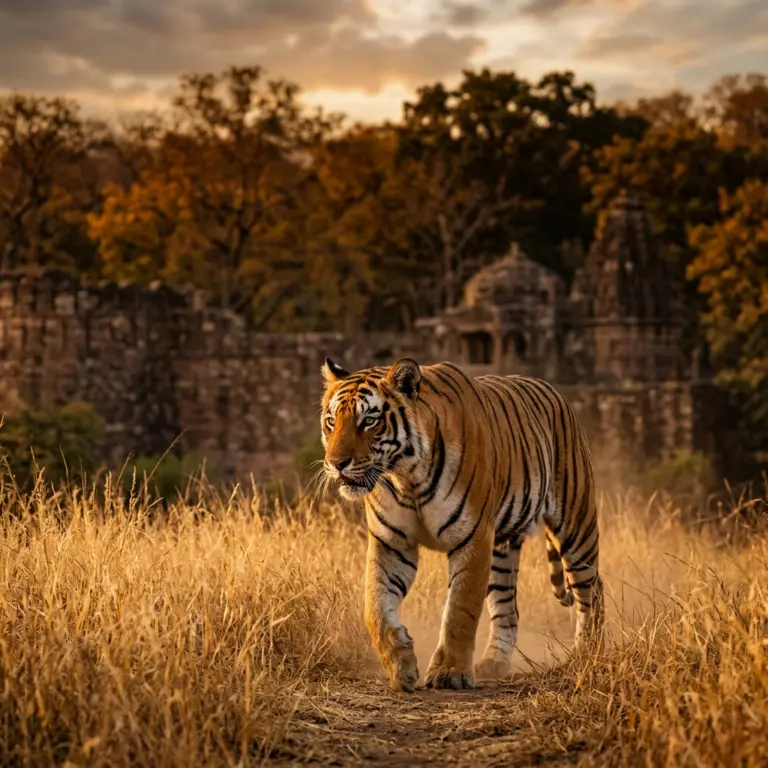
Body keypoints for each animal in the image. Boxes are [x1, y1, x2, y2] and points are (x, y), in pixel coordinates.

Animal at [320, 356, 604, 692]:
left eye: (369, 421)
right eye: (331, 421)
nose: (336, 463)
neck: (405, 476)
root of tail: (554, 390)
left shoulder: (473, 537)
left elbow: (460, 609)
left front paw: (449, 673)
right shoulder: (392, 543)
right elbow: (375, 607)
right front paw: (401, 664)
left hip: (576, 525)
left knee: (592, 590)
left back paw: (585, 657)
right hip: (501, 551)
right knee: (508, 607)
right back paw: (494, 662)